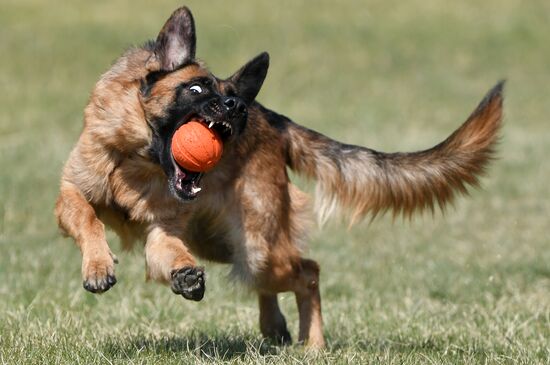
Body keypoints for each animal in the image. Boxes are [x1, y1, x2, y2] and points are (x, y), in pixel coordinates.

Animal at [55, 5, 504, 346]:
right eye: (197, 90)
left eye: (225, 93)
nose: (237, 106)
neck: (134, 161)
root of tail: (271, 119)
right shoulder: (70, 195)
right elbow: (88, 217)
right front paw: (99, 266)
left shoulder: (163, 230)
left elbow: (165, 250)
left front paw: (171, 273)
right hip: (222, 244)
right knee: (278, 279)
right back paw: (275, 327)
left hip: (255, 249)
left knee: (308, 272)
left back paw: (314, 345)